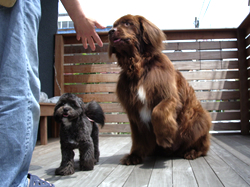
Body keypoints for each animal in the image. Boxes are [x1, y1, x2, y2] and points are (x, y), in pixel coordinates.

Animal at [108, 15, 212, 165]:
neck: (139, 67)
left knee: (203, 146)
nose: (110, 31)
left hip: (199, 119)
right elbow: (138, 137)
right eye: (114, 25)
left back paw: (191, 152)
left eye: (127, 23)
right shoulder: (133, 110)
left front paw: (165, 137)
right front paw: (134, 156)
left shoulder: (170, 97)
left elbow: (158, 111)